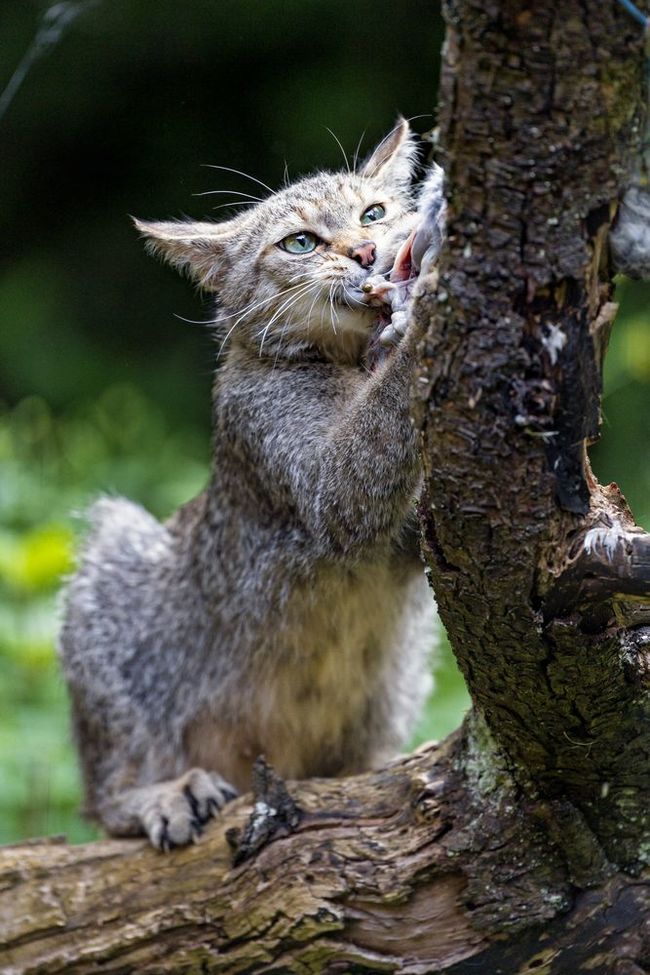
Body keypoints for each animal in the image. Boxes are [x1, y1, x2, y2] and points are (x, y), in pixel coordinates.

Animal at [60, 118, 442, 852]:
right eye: (300, 243)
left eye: (372, 213)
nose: (368, 252)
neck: (344, 358)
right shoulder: (326, 486)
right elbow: (378, 432)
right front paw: (426, 300)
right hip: (111, 562)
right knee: (105, 794)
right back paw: (162, 793)